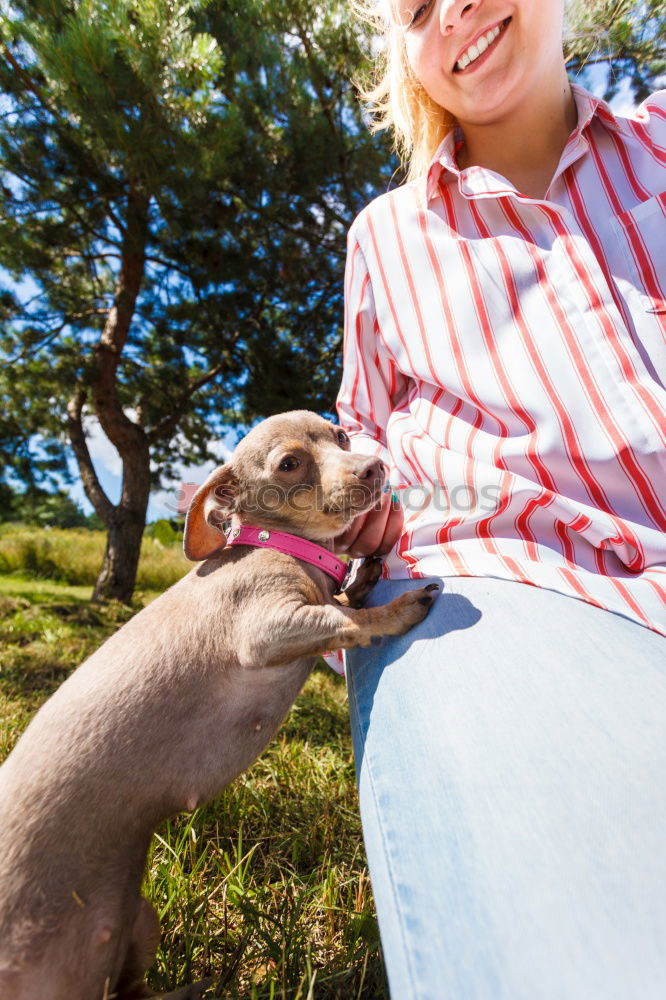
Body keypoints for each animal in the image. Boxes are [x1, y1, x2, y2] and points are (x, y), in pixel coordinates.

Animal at [0, 410, 436, 996]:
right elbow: (346, 619)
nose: (372, 466)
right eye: (289, 464)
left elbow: (342, 599)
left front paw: (364, 574)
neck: (283, 546)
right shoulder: (269, 626)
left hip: (138, 922)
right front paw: (398, 608)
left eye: (341, 436)